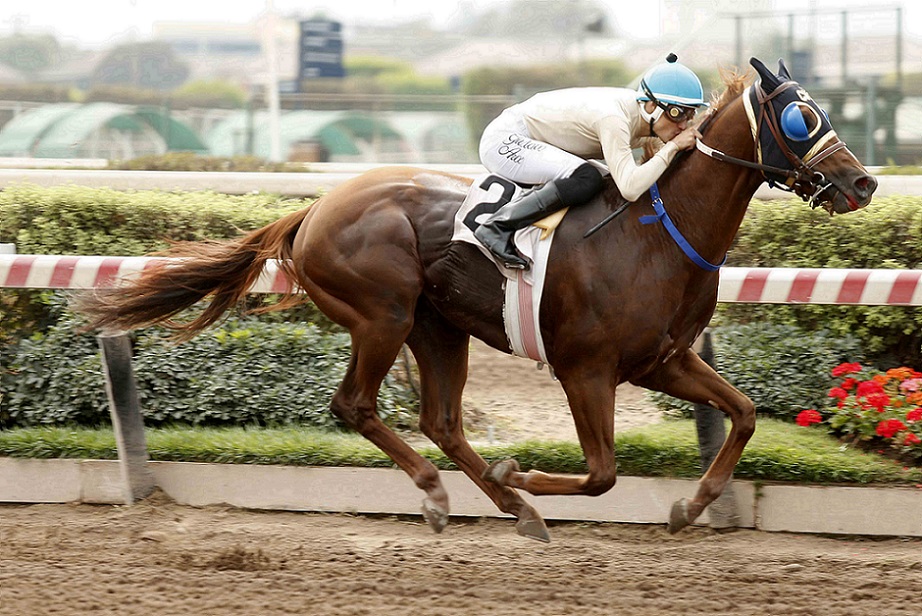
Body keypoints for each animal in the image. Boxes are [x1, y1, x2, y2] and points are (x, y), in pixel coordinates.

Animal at [76, 58, 877, 541]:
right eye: (801, 118)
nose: (864, 182)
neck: (657, 231)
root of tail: (314, 209)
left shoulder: (663, 360)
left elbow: (742, 416)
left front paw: (689, 507)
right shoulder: (585, 369)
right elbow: (602, 473)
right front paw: (519, 470)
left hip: (439, 326)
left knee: (441, 418)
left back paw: (514, 509)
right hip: (385, 313)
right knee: (358, 406)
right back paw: (445, 492)